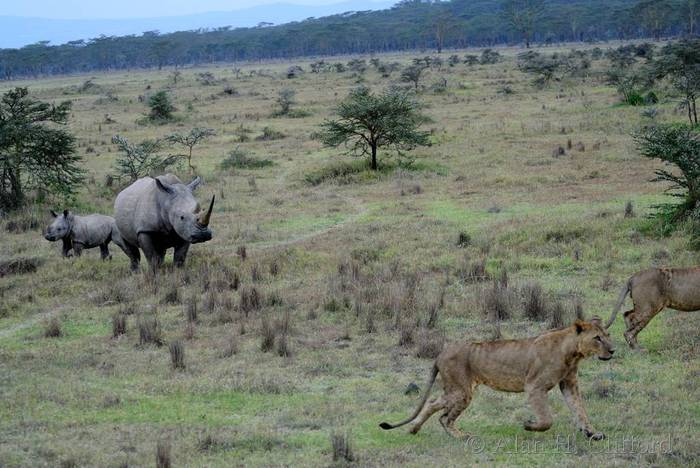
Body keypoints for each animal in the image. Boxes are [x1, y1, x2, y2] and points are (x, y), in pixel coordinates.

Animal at [379, 318, 614, 440]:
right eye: (597, 338)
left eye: (608, 335)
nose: (613, 350)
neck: (573, 353)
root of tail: (441, 353)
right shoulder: (534, 386)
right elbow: (547, 419)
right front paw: (529, 425)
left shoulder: (569, 384)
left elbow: (579, 409)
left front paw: (592, 433)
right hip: (462, 391)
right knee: (443, 415)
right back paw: (461, 436)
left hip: (458, 390)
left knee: (433, 404)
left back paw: (414, 429)